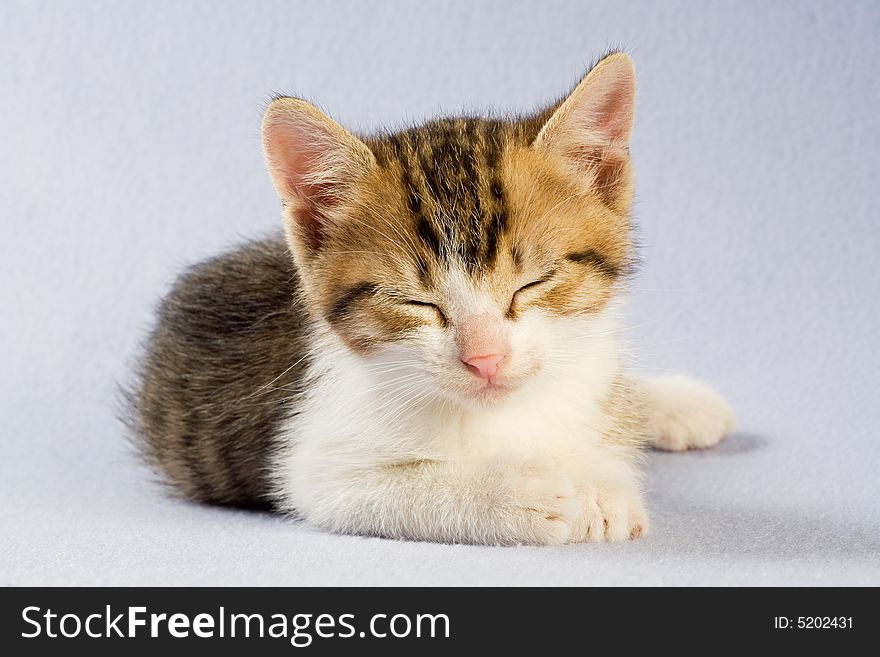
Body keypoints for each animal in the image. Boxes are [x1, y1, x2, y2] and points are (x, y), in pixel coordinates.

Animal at [132, 52, 736, 544]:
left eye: (532, 282)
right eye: (415, 302)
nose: (486, 359)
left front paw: (605, 479)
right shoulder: (314, 467)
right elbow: (393, 489)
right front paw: (528, 492)